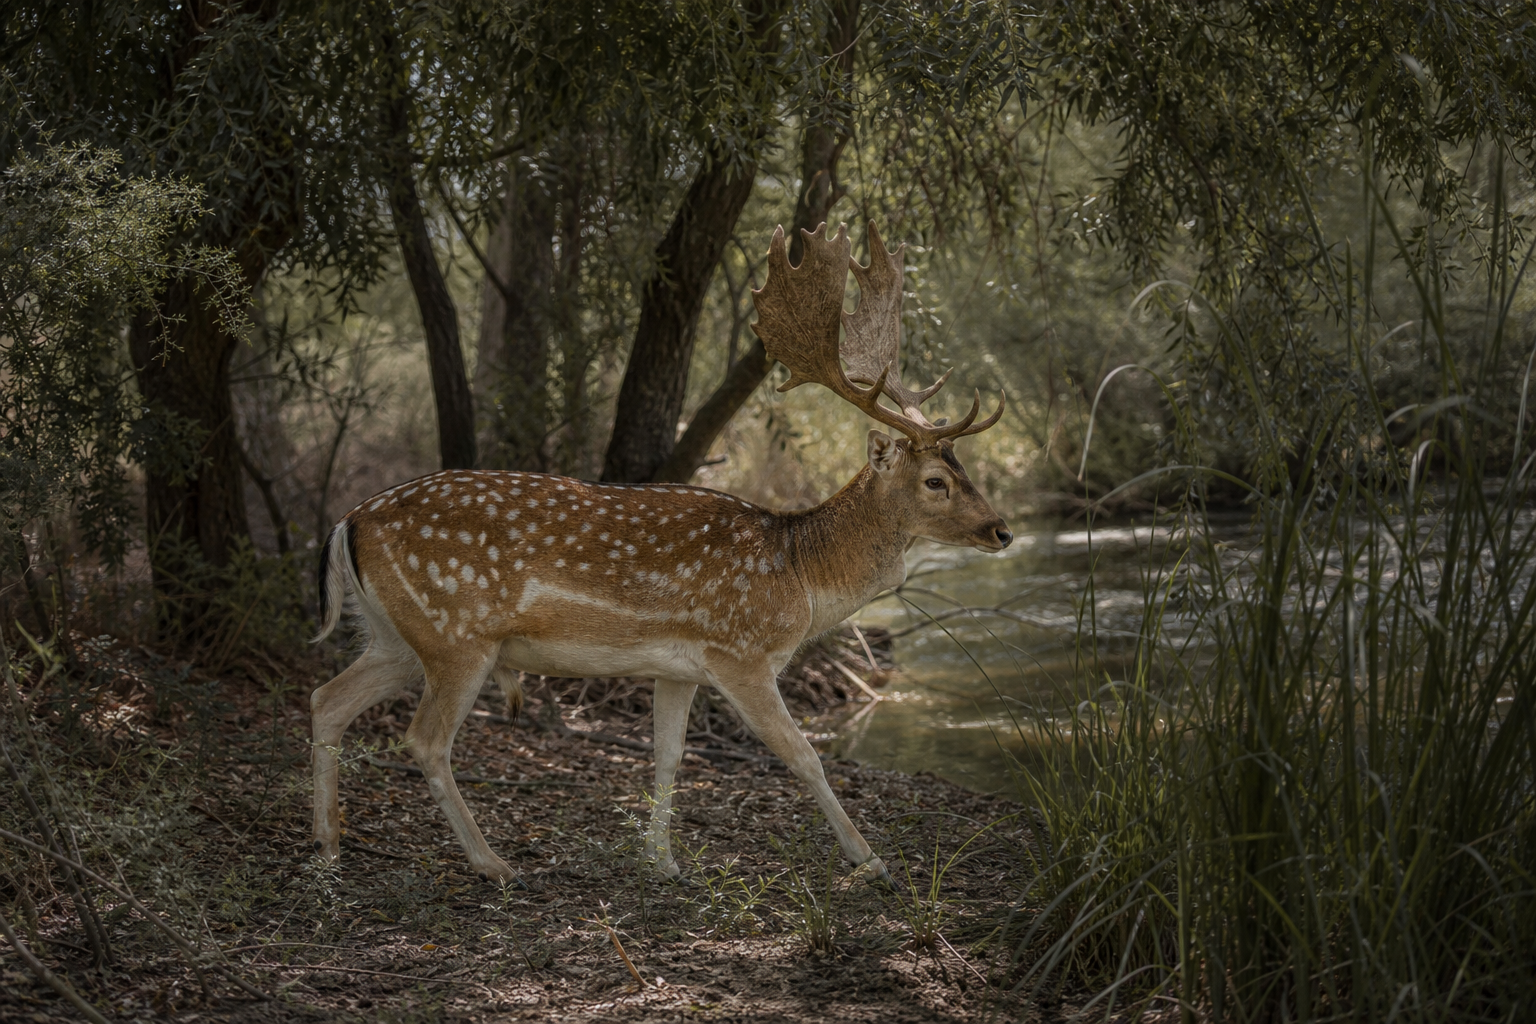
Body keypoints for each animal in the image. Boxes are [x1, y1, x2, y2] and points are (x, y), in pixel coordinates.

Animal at [309, 221, 1011, 885]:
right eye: (936, 481)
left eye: (964, 466)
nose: (1002, 530)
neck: (798, 574)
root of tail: (345, 523)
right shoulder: (741, 652)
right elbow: (802, 754)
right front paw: (869, 860)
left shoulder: (679, 667)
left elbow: (668, 755)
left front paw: (663, 861)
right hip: (457, 634)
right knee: (424, 740)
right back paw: (491, 862)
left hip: (397, 636)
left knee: (326, 700)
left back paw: (328, 846)